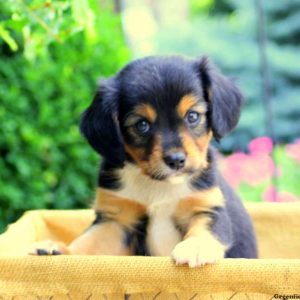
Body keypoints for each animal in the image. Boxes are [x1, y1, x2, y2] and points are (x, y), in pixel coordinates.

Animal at [32, 55, 258, 266]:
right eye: (142, 125)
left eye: (193, 116)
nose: (176, 160)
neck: (159, 186)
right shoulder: (116, 220)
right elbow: (88, 242)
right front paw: (58, 249)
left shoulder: (207, 207)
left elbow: (205, 229)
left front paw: (195, 247)